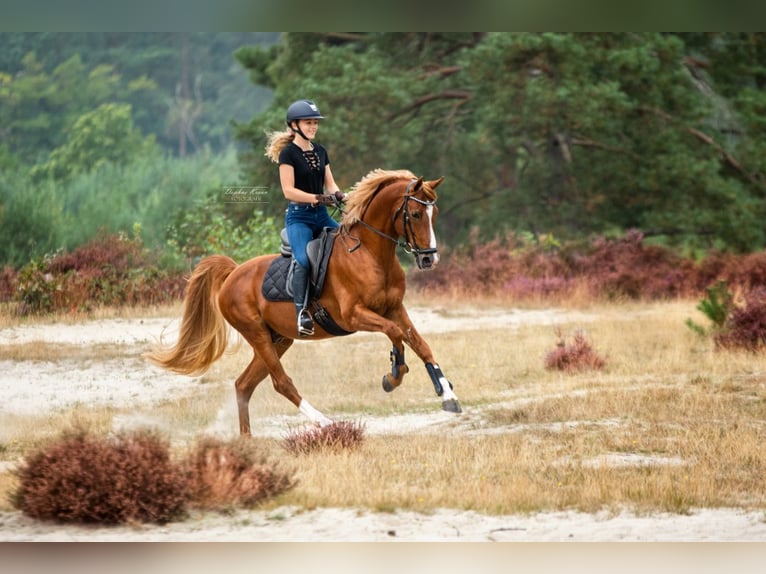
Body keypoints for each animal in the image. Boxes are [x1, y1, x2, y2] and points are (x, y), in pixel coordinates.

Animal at [147, 168, 461, 436]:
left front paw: (447, 395)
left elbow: (421, 345)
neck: (370, 253)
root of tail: (233, 273)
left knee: (244, 385)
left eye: (434, 213)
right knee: (281, 382)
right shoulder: (355, 315)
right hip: (257, 334)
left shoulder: (394, 309)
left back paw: (246, 441)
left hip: (279, 339)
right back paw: (326, 422)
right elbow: (395, 334)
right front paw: (394, 375)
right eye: (416, 214)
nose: (429, 259)